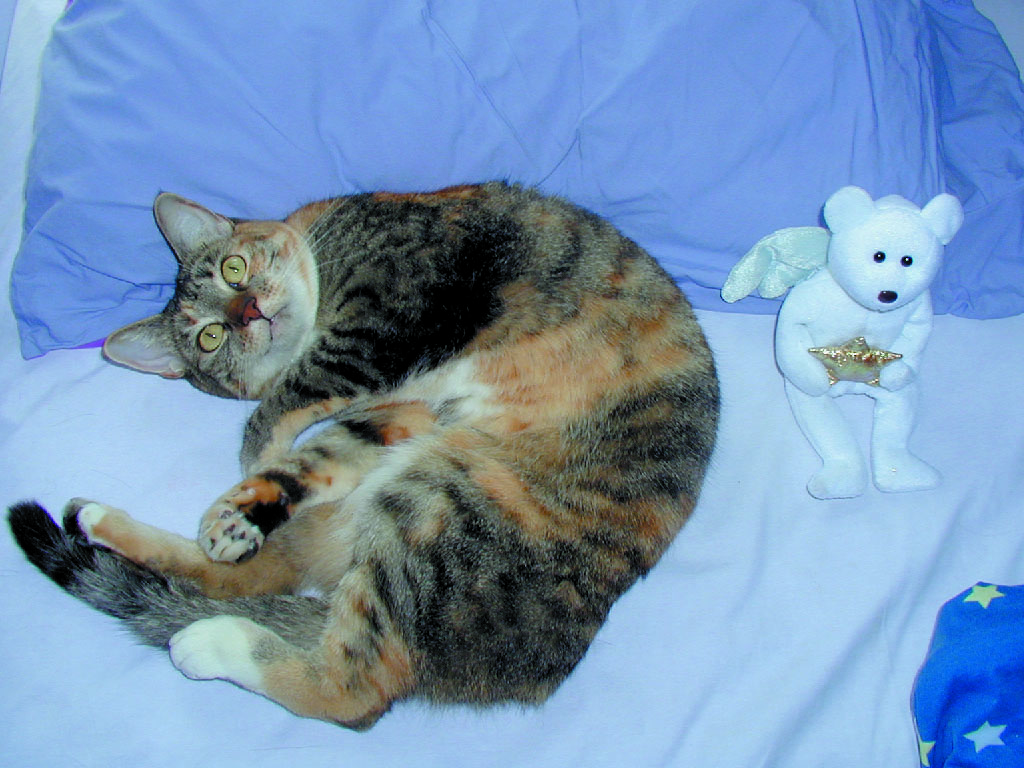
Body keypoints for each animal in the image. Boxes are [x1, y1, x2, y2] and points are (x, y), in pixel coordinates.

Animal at [8, 180, 716, 729]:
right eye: (210, 337)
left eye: (233, 270)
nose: (248, 312)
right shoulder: (389, 404)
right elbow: (303, 445)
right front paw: (249, 492)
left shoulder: (387, 315)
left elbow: (282, 404)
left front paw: (250, 462)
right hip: (403, 480)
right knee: (260, 579)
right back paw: (103, 522)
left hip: (439, 501)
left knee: (352, 694)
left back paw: (208, 637)